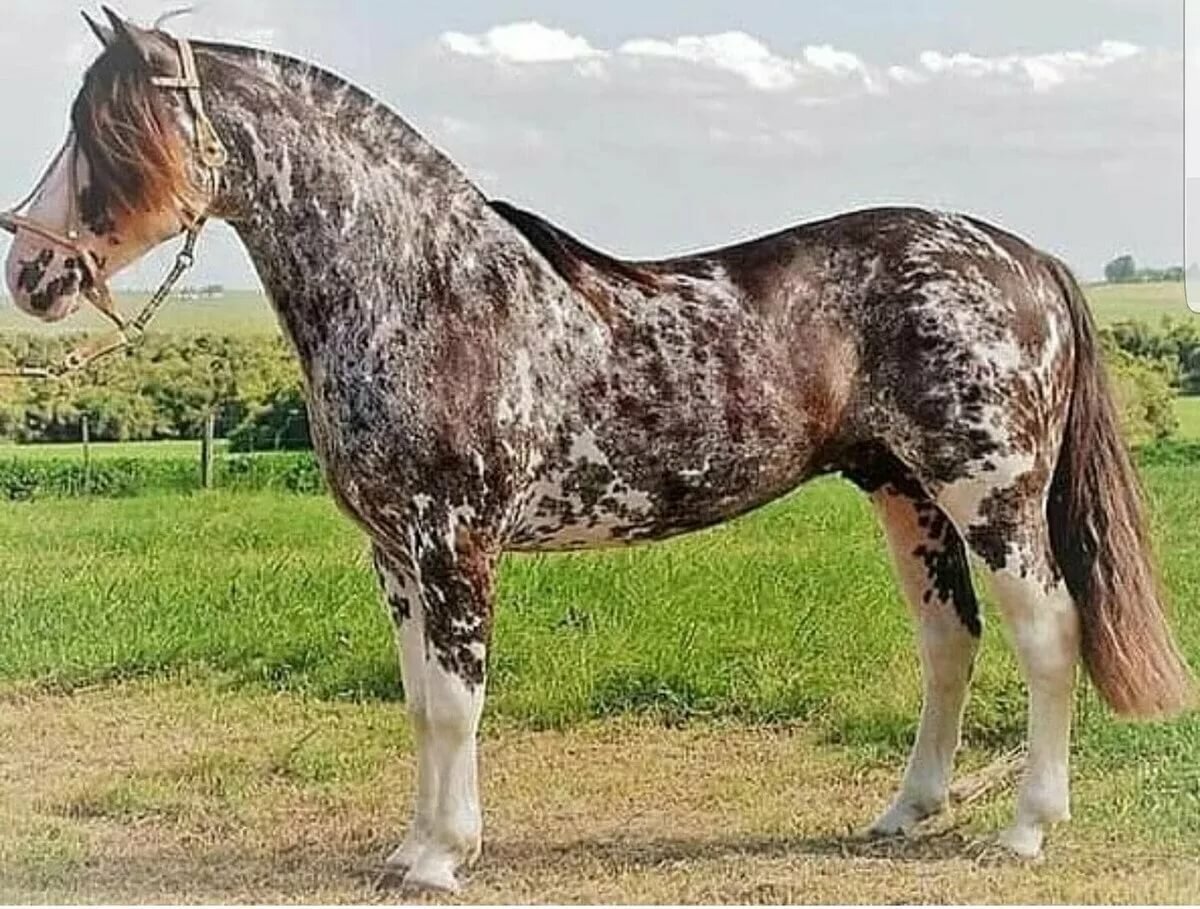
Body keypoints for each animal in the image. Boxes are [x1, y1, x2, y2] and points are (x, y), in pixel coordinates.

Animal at [3, 9, 1192, 893]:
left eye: (106, 131)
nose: (32, 274)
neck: (427, 294)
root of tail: (1020, 255)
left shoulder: (453, 543)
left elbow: (456, 700)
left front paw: (439, 858)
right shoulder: (394, 551)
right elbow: (420, 700)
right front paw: (415, 844)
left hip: (992, 493)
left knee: (1050, 636)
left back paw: (1025, 830)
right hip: (906, 495)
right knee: (950, 643)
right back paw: (903, 814)